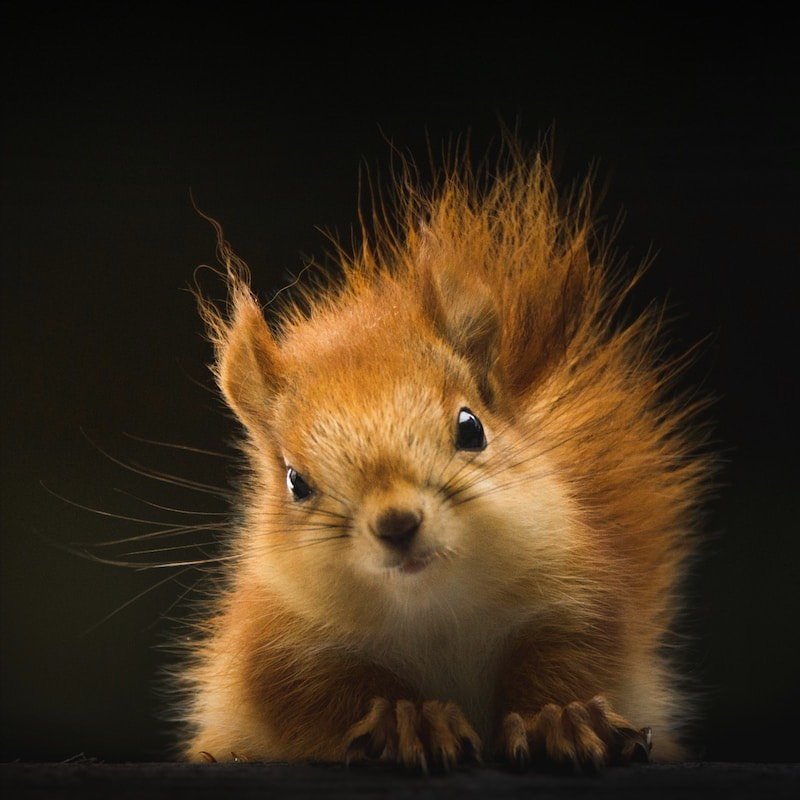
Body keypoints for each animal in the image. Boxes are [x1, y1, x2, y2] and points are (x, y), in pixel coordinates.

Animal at [177, 148, 708, 771]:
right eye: (295, 482)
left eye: (471, 428)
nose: (397, 523)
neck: (432, 610)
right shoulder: (276, 647)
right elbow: (322, 696)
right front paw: (410, 721)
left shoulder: (577, 596)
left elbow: (571, 660)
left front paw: (561, 717)